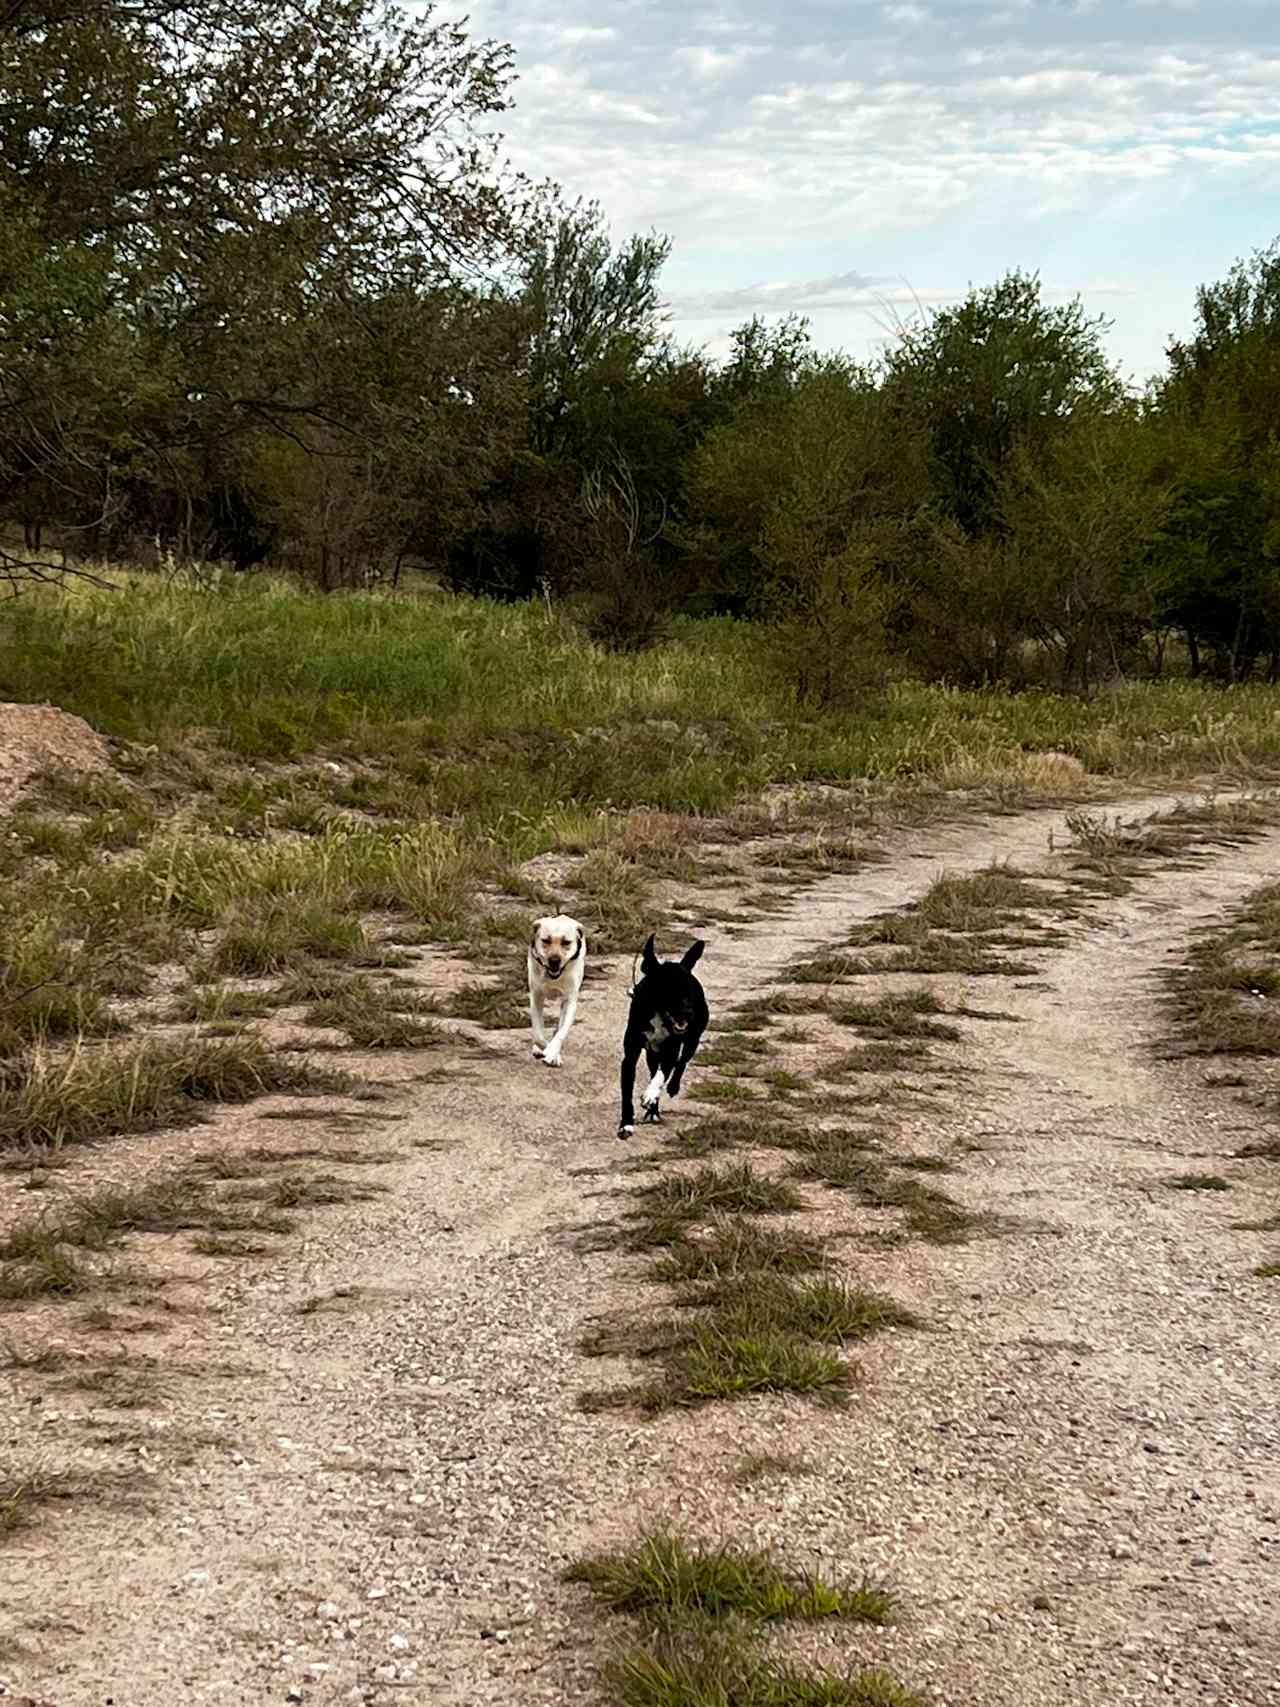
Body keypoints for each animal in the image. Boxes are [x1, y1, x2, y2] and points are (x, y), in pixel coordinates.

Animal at [621, 935, 713, 1133]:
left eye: (689, 989)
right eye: (669, 989)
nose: (689, 1011)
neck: (659, 1015)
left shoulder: (670, 1052)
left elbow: (662, 1076)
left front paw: (649, 1094)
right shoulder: (630, 1056)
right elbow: (627, 1092)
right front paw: (626, 1124)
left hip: (692, 1040)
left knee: (681, 1063)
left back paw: (671, 1088)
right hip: (652, 1055)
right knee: (655, 1070)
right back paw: (653, 1111)